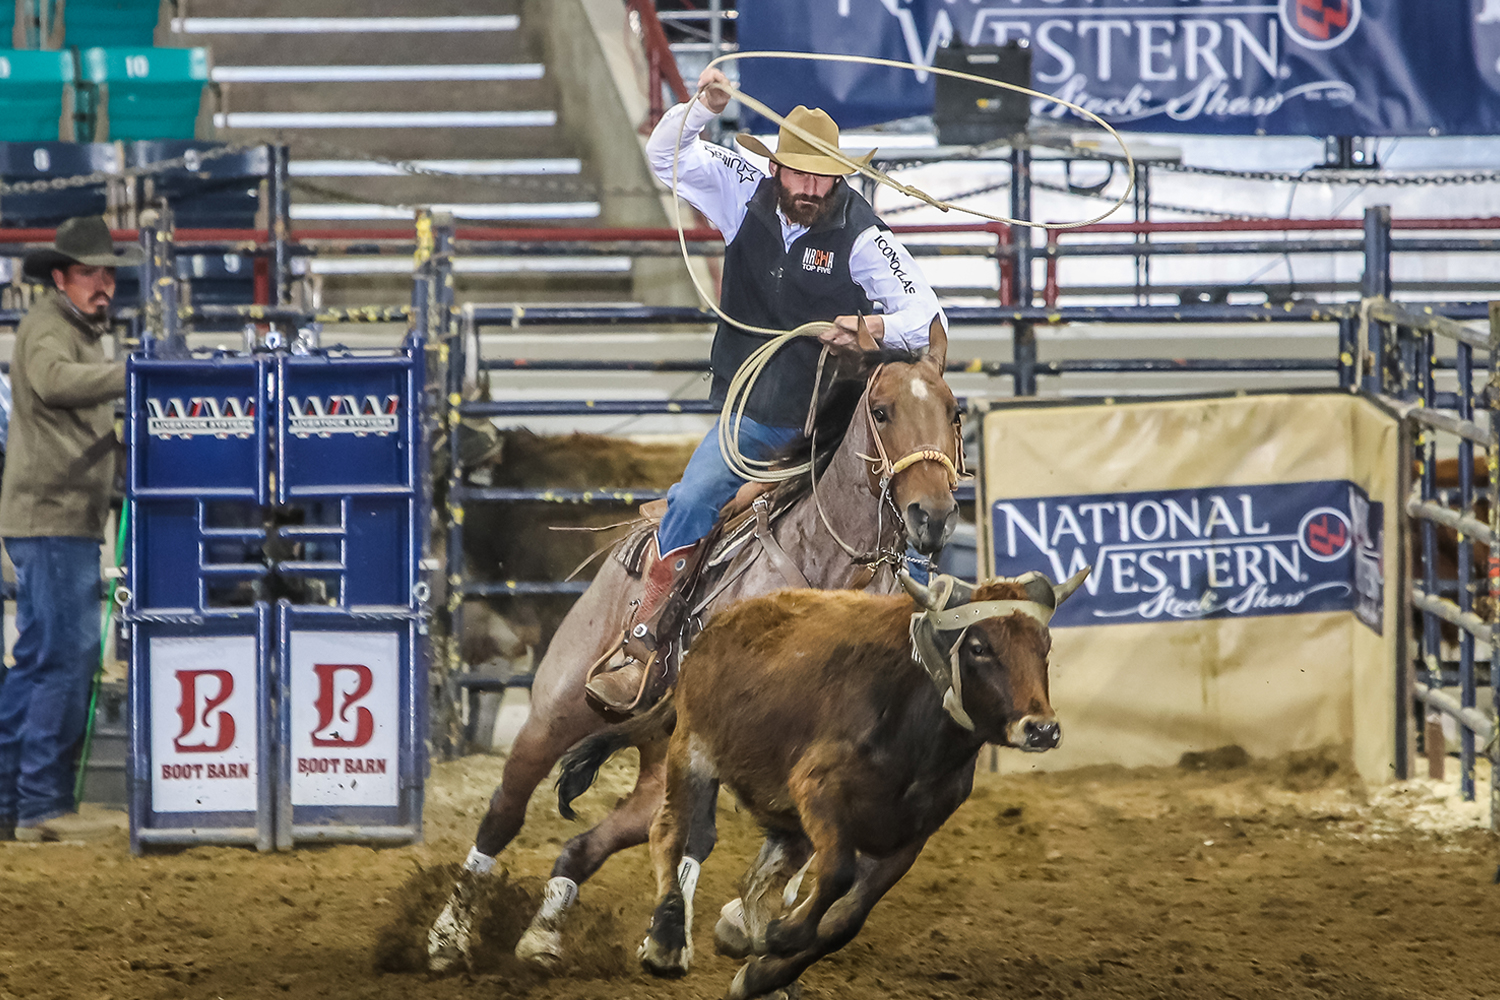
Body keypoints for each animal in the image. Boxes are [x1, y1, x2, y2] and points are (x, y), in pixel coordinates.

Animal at [423, 341, 966, 971]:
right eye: (881, 411)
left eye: (953, 412)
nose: (933, 514)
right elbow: (707, 837)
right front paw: (680, 934)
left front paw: (736, 919)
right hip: (560, 709)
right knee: (505, 809)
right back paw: (448, 936)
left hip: (658, 762)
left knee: (591, 842)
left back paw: (543, 936)